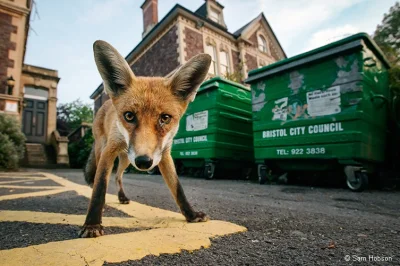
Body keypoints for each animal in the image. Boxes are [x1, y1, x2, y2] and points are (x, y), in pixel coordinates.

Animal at [79, 40, 214, 238]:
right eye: (129, 116)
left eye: (165, 118)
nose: (144, 161)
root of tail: (106, 103)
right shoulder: (109, 151)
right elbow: (100, 186)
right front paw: (92, 224)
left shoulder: (164, 154)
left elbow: (177, 188)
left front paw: (191, 215)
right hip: (103, 150)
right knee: (100, 177)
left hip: (126, 159)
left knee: (118, 176)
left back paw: (122, 197)